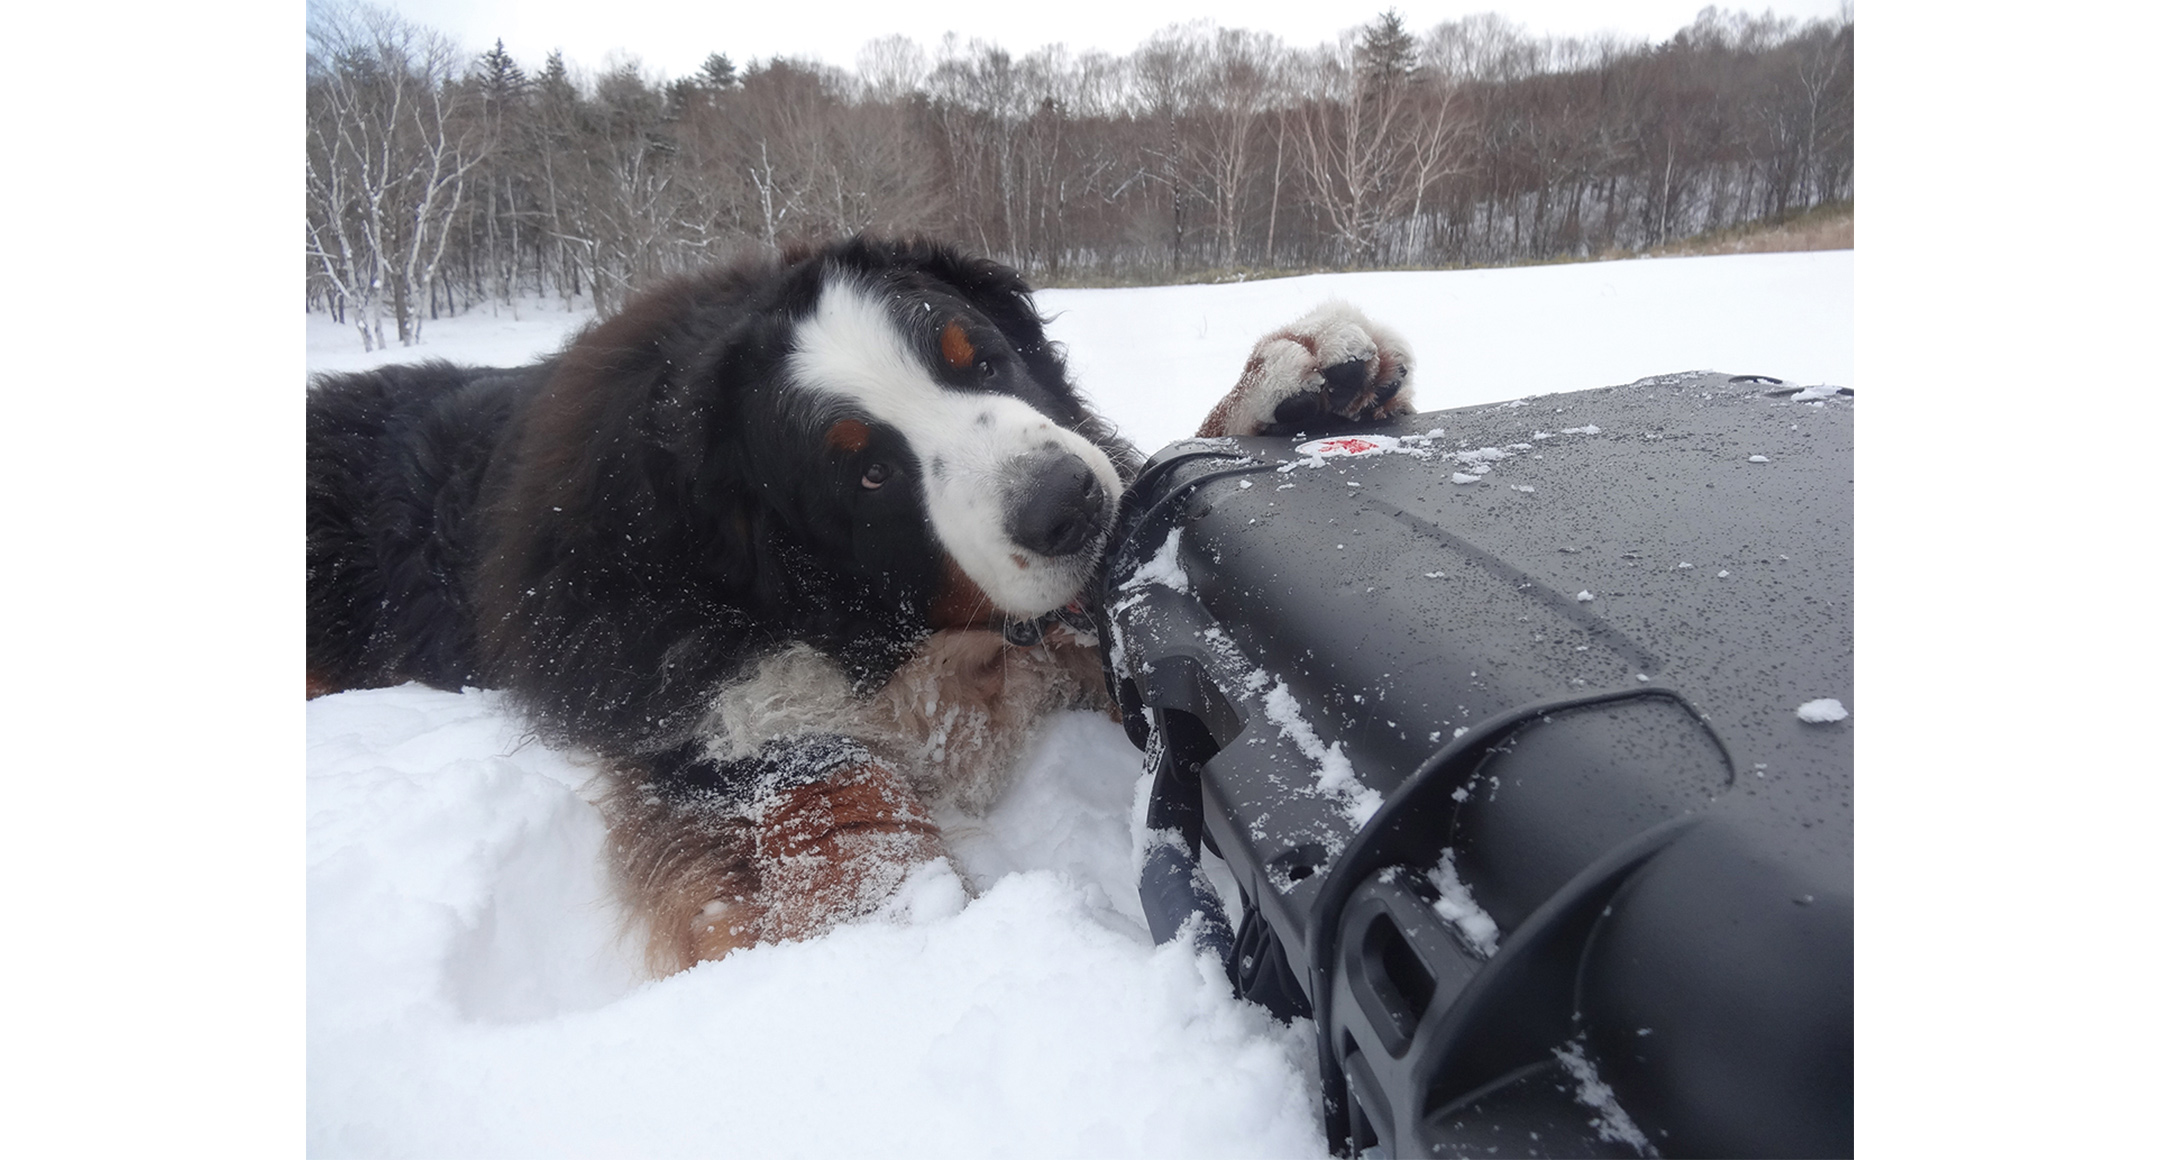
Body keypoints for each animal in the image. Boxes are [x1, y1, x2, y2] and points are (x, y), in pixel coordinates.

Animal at [304, 239, 1416, 972]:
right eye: (869, 472)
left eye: (980, 358)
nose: (1068, 503)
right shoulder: (718, 728)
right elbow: (847, 832)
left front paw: (1306, 388)